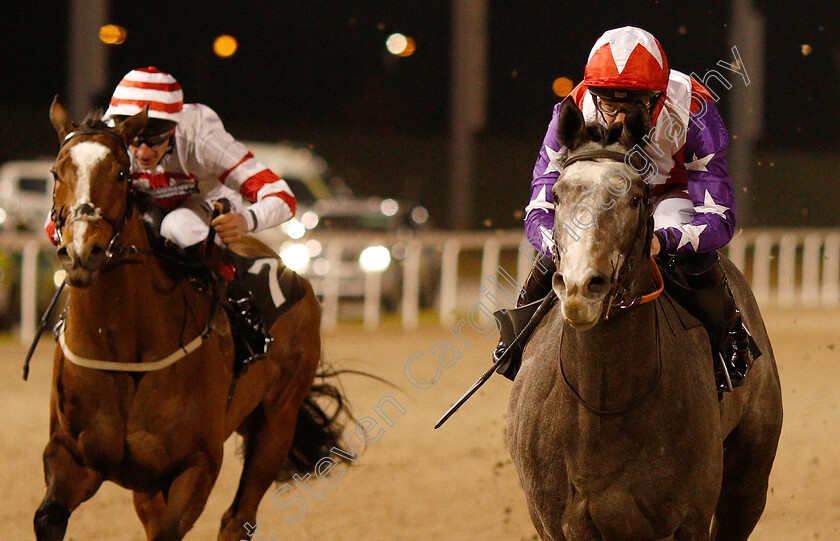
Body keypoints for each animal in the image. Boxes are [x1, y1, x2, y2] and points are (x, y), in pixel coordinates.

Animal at [36, 98, 348, 540]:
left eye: (120, 173)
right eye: (56, 172)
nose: (83, 252)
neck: (125, 353)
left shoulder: (197, 464)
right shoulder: (72, 456)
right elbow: (47, 517)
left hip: (276, 422)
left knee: (238, 518)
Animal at [506, 99, 788, 536]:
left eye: (636, 198)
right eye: (557, 194)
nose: (581, 286)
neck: (601, 407)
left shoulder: (689, 517)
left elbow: (715, 211)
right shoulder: (554, 522)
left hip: (749, 479)